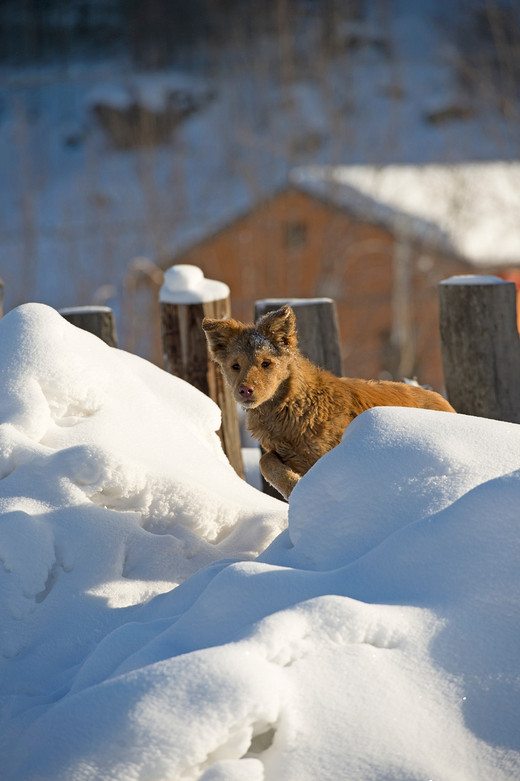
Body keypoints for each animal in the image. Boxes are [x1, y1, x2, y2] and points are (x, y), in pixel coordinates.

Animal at [203, 304, 456, 500]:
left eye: (266, 363)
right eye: (235, 366)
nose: (245, 390)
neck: (293, 407)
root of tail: (442, 400)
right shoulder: (287, 454)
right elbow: (265, 461)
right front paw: (293, 487)